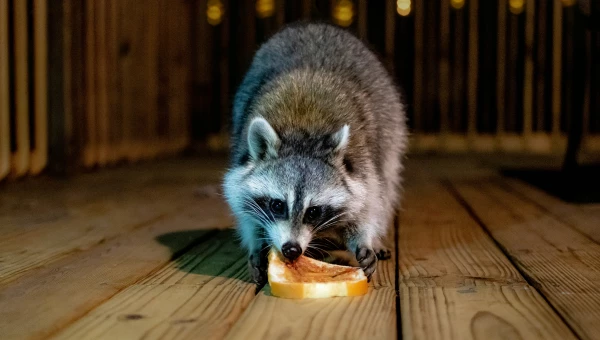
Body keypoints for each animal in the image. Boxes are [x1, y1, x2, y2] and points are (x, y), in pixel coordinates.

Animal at [223, 22, 410, 286]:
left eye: (313, 212)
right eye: (277, 205)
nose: (291, 249)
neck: (303, 135)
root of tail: (312, 25)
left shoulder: (362, 164)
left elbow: (368, 201)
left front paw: (364, 239)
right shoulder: (241, 164)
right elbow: (243, 205)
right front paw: (256, 244)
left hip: (391, 123)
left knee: (388, 182)